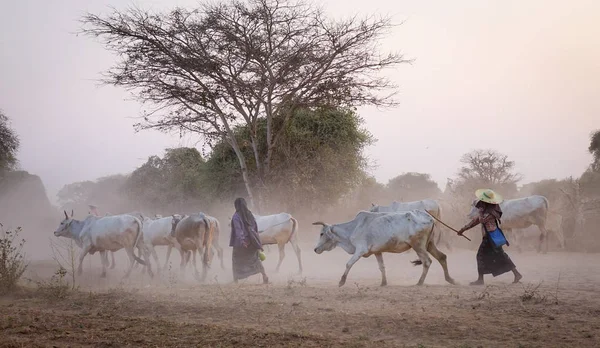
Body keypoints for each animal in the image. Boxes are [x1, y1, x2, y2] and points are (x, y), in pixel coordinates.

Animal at [314, 211, 454, 286]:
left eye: (321, 233)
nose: (315, 249)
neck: (353, 228)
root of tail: (430, 218)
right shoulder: (377, 251)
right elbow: (382, 267)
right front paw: (383, 283)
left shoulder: (361, 250)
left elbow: (348, 264)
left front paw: (341, 282)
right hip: (430, 244)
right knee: (442, 257)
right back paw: (450, 279)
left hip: (418, 246)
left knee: (427, 262)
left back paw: (419, 282)